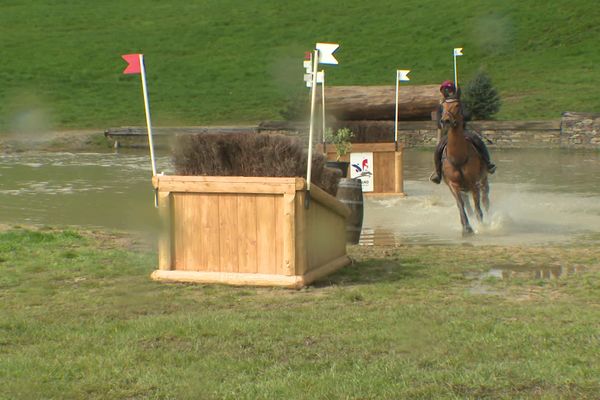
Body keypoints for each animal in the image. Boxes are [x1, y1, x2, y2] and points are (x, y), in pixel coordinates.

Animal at [438, 97, 490, 234]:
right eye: (443, 106)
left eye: (457, 105)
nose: (445, 121)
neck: (458, 157)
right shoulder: (453, 185)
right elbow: (460, 204)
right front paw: (466, 227)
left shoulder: (474, 183)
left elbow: (478, 206)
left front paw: (482, 226)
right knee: (467, 202)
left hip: (483, 179)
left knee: (485, 197)